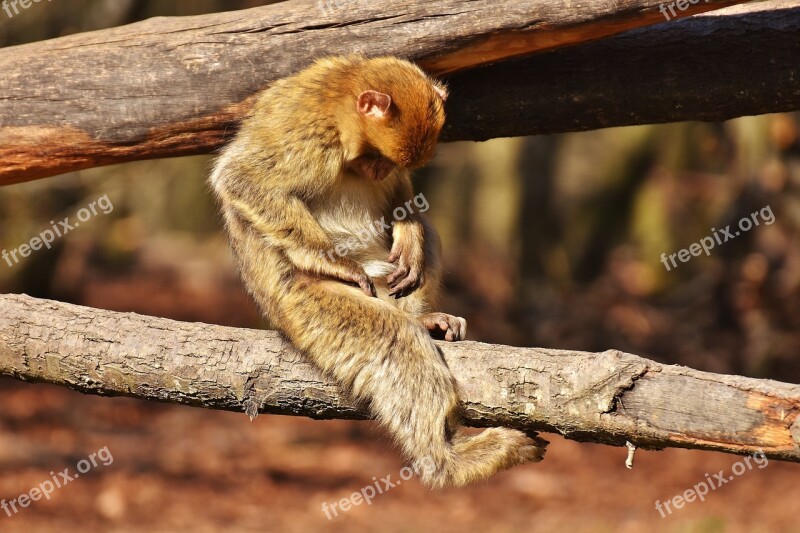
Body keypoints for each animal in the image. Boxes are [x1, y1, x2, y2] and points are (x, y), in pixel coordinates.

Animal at [209, 55, 548, 486]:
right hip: (302, 302)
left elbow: (405, 201)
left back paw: (422, 317)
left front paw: (409, 233)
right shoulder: (306, 134)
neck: (341, 100)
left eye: (388, 164)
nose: (379, 172)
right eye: (376, 158)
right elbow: (242, 179)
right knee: (395, 342)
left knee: (422, 241)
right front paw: (335, 261)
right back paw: (448, 459)